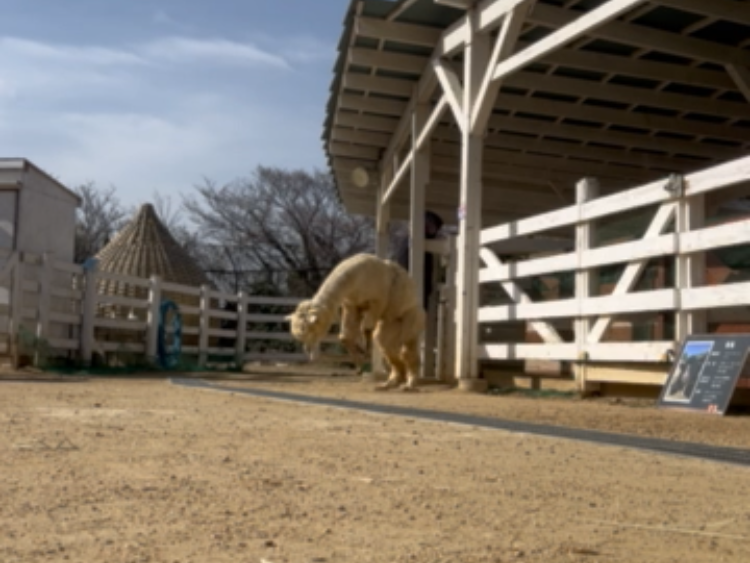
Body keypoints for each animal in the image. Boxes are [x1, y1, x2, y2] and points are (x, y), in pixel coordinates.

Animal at [286, 253, 425, 391]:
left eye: (312, 329)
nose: (307, 349)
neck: (354, 277)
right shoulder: (351, 305)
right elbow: (345, 336)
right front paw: (359, 362)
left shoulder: (376, 302)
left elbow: (366, 328)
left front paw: (366, 351)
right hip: (391, 326)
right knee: (387, 346)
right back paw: (389, 383)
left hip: (410, 318)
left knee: (407, 349)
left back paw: (409, 384)